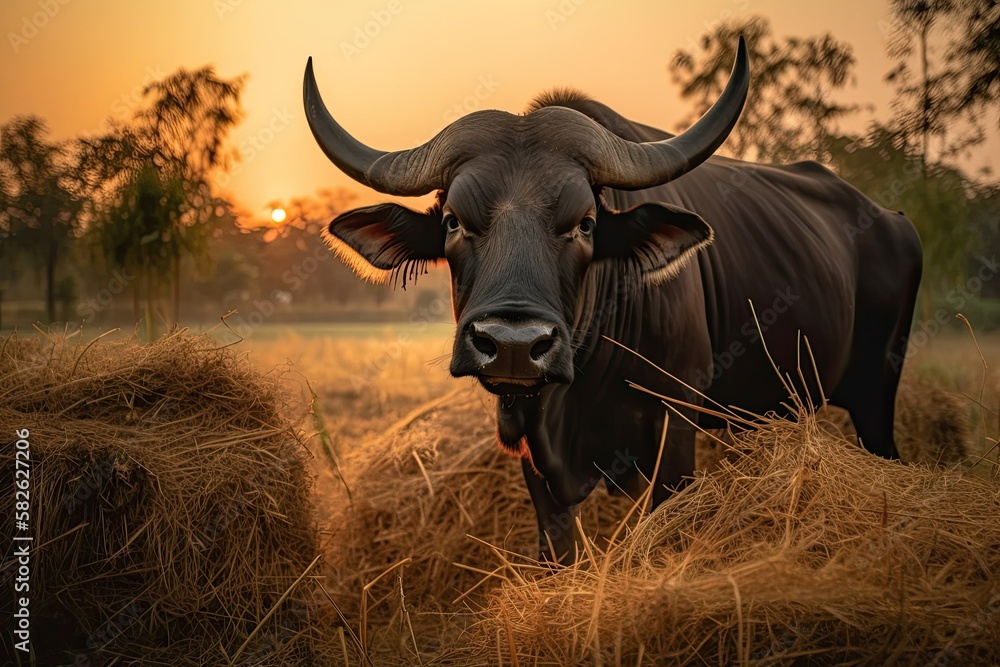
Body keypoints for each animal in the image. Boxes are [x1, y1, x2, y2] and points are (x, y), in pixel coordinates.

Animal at [302, 37, 920, 564]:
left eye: (586, 223)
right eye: (454, 221)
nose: (512, 345)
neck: (578, 392)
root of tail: (890, 220)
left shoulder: (676, 424)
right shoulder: (530, 449)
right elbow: (559, 549)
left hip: (877, 393)